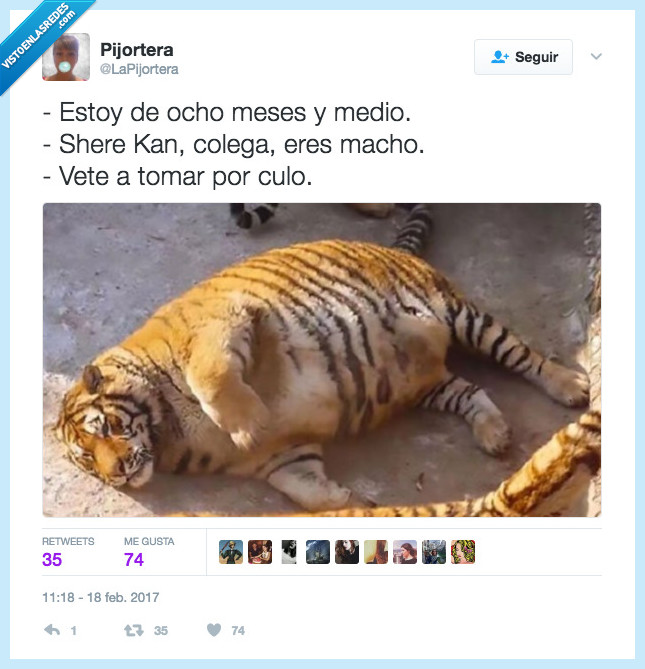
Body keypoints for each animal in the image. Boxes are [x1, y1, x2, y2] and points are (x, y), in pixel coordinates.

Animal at [56, 204, 589, 512]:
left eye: (105, 427)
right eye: (87, 458)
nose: (117, 474)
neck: (167, 431)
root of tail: (390, 247)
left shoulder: (221, 325)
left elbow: (213, 378)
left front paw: (248, 423)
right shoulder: (281, 457)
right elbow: (303, 490)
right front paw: (342, 497)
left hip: (462, 316)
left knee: (524, 357)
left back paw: (573, 386)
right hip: (428, 385)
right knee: (471, 390)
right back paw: (495, 435)